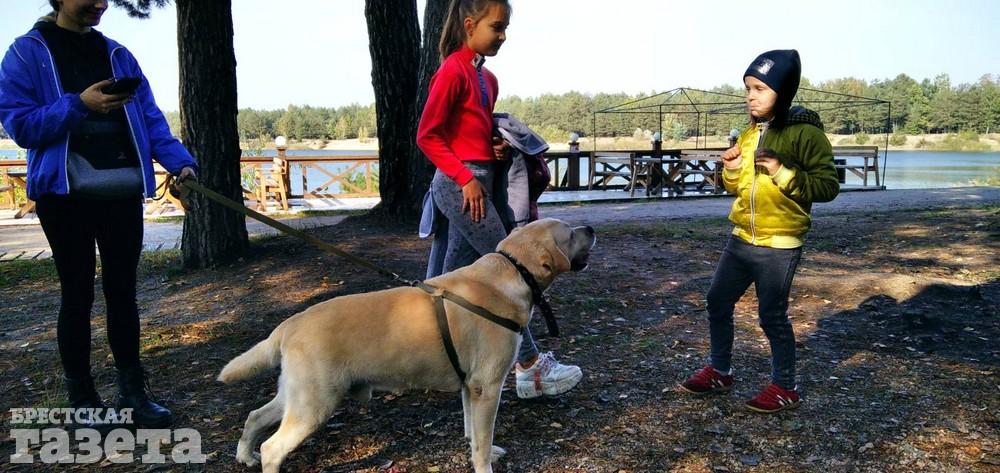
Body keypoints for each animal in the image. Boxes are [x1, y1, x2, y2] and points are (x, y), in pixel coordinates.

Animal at [219, 218, 592, 472]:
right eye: (570, 233)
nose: (588, 226)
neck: (511, 271)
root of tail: (289, 324)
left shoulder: (469, 385)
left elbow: (472, 430)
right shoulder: (487, 386)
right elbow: (483, 441)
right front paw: (484, 463)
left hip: (297, 395)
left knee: (255, 416)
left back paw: (245, 455)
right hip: (315, 403)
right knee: (273, 447)